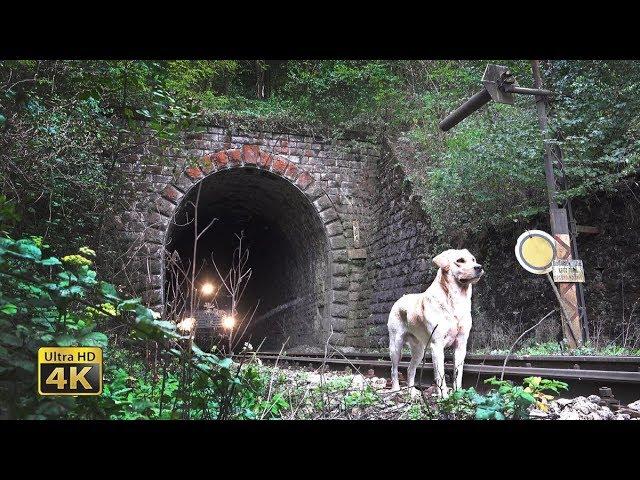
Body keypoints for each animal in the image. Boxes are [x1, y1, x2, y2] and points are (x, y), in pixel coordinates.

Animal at [384, 248, 484, 398]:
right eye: (460, 260)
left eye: (473, 259)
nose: (479, 267)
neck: (456, 301)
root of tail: (400, 299)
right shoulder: (437, 345)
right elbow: (440, 375)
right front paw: (444, 397)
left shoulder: (461, 345)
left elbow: (458, 375)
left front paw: (457, 394)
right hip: (396, 346)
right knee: (394, 369)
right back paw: (396, 389)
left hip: (419, 350)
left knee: (410, 369)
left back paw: (412, 392)